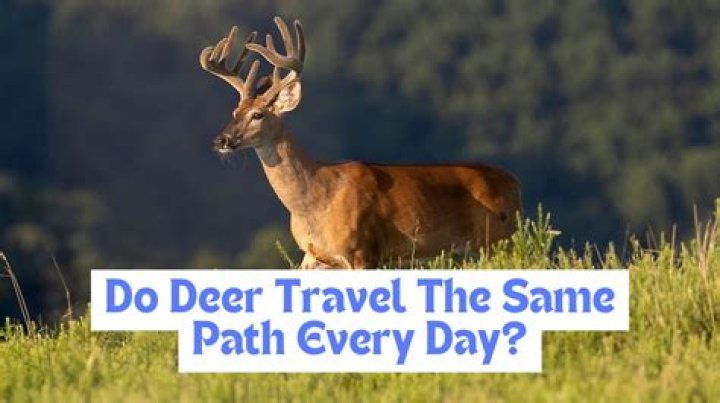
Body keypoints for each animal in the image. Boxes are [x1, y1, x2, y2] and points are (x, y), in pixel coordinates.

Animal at [199, 17, 522, 269]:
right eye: (234, 112)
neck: (316, 199)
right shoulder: (315, 257)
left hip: (496, 239)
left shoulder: (362, 251)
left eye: (258, 114)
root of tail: (513, 182)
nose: (221, 140)